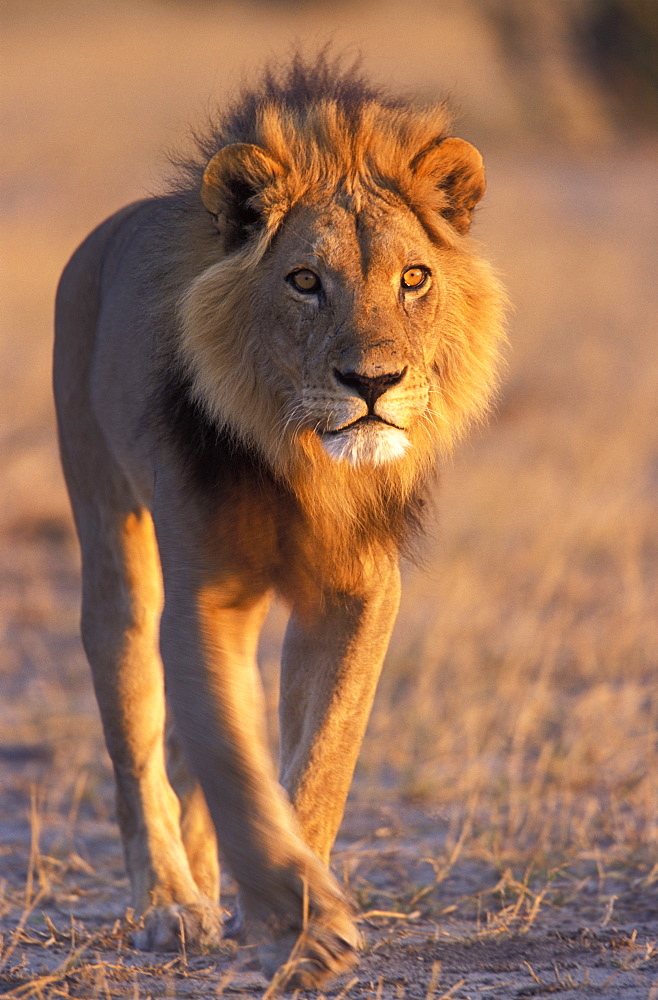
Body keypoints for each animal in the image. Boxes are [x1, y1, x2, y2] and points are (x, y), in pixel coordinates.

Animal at [53, 56, 504, 992]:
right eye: (304, 281)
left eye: (414, 278)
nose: (373, 382)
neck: (307, 466)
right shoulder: (203, 596)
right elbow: (227, 753)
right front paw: (303, 924)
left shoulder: (361, 593)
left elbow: (320, 754)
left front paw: (296, 912)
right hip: (111, 537)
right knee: (136, 731)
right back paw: (170, 904)